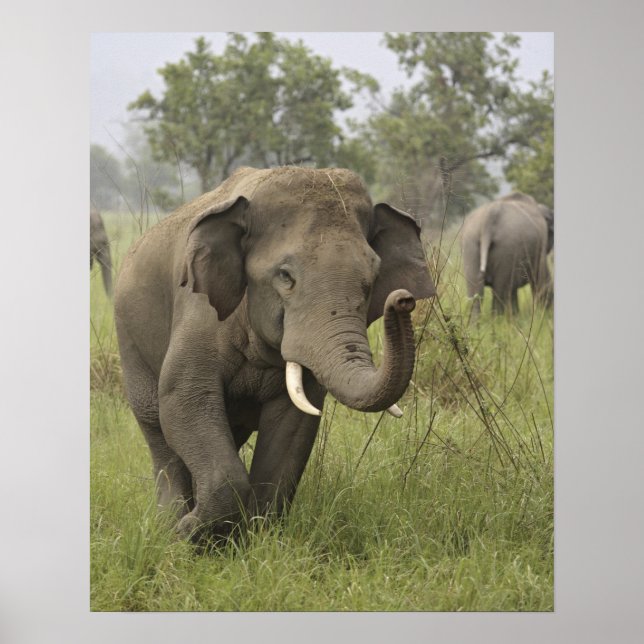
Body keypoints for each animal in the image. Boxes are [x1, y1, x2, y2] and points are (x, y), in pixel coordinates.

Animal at [114, 166, 436, 540]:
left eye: (372, 280)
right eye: (285, 276)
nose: (403, 300)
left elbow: (292, 425)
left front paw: (254, 539)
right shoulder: (198, 311)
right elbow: (184, 399)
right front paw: (187, 535)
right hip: (130, 340)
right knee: (158, 429)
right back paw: (168, 524)